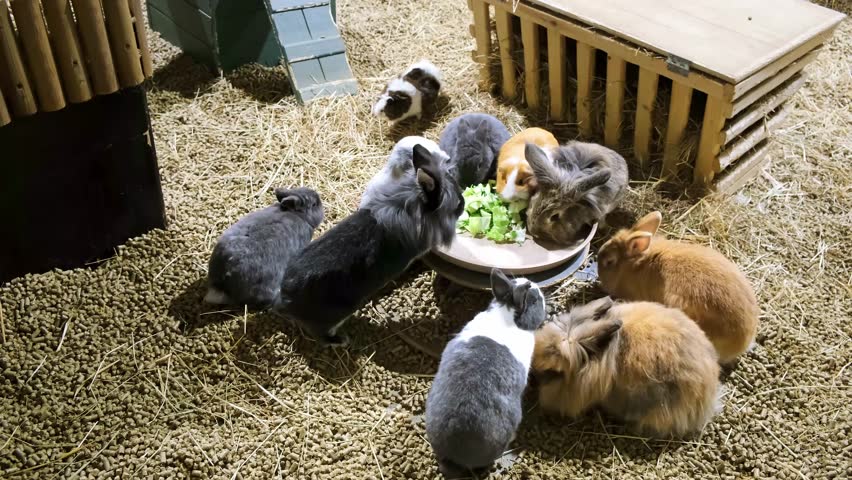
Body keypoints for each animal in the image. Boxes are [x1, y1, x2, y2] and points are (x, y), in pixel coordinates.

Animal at [276, 144, 464, 346]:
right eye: (457, 203)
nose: (463, 205)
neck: (412, 207)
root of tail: (284, 299)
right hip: (335, 316)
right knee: (321, 334)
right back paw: (341, 341)